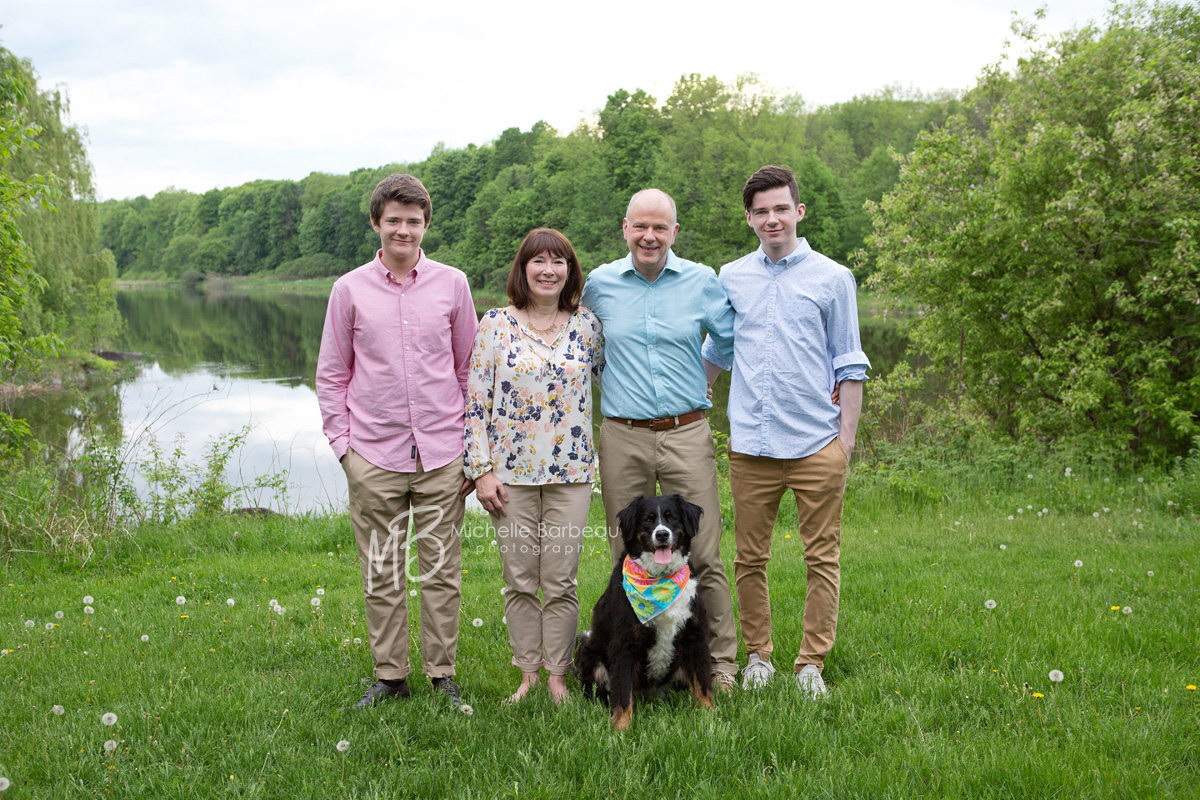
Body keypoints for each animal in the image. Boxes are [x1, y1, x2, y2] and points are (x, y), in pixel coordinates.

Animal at [578, 494, 715, 734]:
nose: (662, 534)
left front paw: (709, 719)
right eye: (648, 520)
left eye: (671, 517)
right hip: (590, 654)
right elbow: (623, 694)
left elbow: (702, 684)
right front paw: (620, 729)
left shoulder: (695, 636)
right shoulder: (625, 643)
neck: (660, 581)